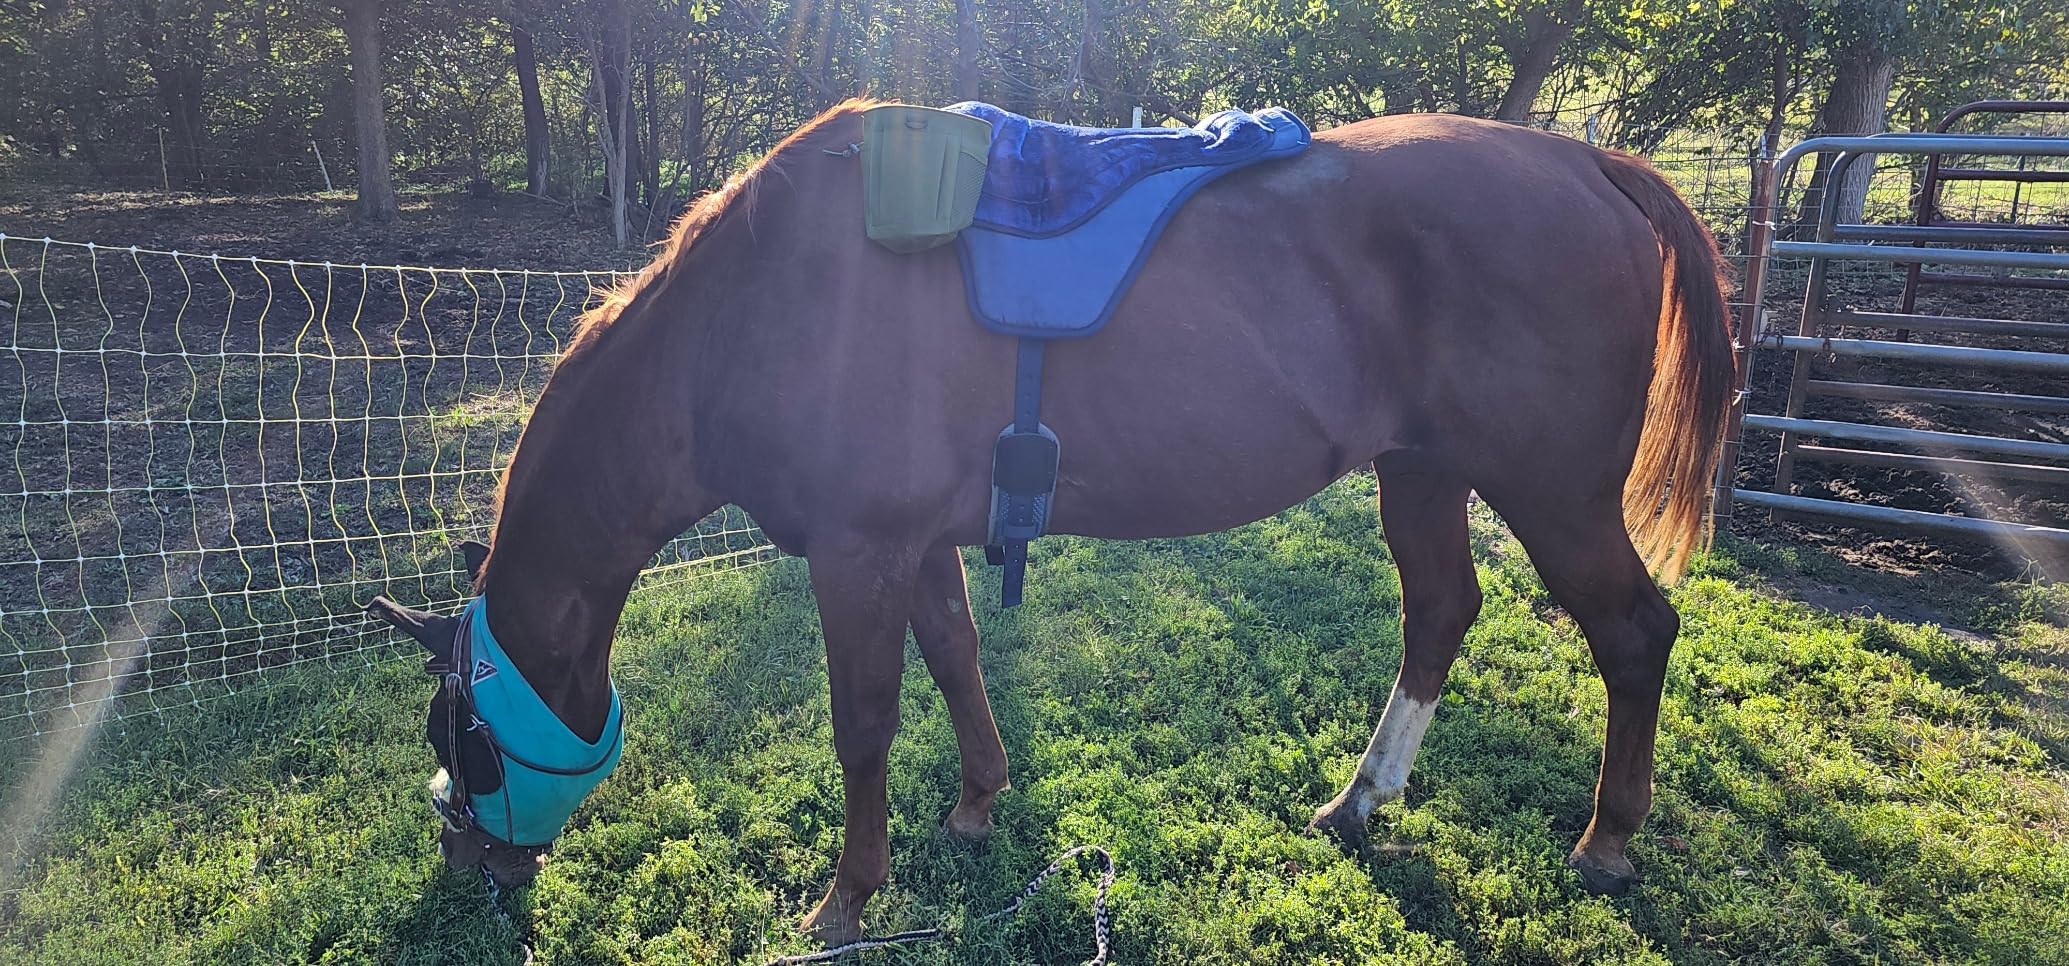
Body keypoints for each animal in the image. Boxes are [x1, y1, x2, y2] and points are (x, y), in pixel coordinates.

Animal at [367, 98, 1733, 945]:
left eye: (467, 736)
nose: (468, 866)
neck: (751, 308)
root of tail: (1582, 164)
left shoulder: (856, 555)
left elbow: (862, 726)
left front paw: (846, 902)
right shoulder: (915, 546)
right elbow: (957, 662)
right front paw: (978, 806)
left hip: (1549, 492)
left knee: (1633, 632)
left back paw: (1608, 836)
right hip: (1421, 471)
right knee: (1441, 611)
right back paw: (1358, 801)